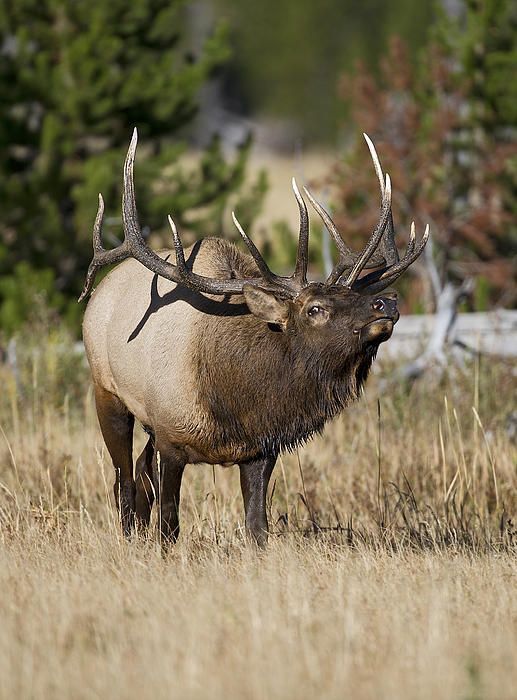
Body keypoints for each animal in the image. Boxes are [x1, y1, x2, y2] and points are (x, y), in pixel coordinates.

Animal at [80, 129, 428, 547]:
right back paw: (130, 535)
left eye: (352, 295)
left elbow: (257, 527)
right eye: (314, 309)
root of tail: (98, 294)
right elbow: (169, 525)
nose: (386, 302)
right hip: (108, 393)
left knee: (139, 471)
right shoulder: (171, 438)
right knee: (125, 480)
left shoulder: (260, 449)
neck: (234, 398)